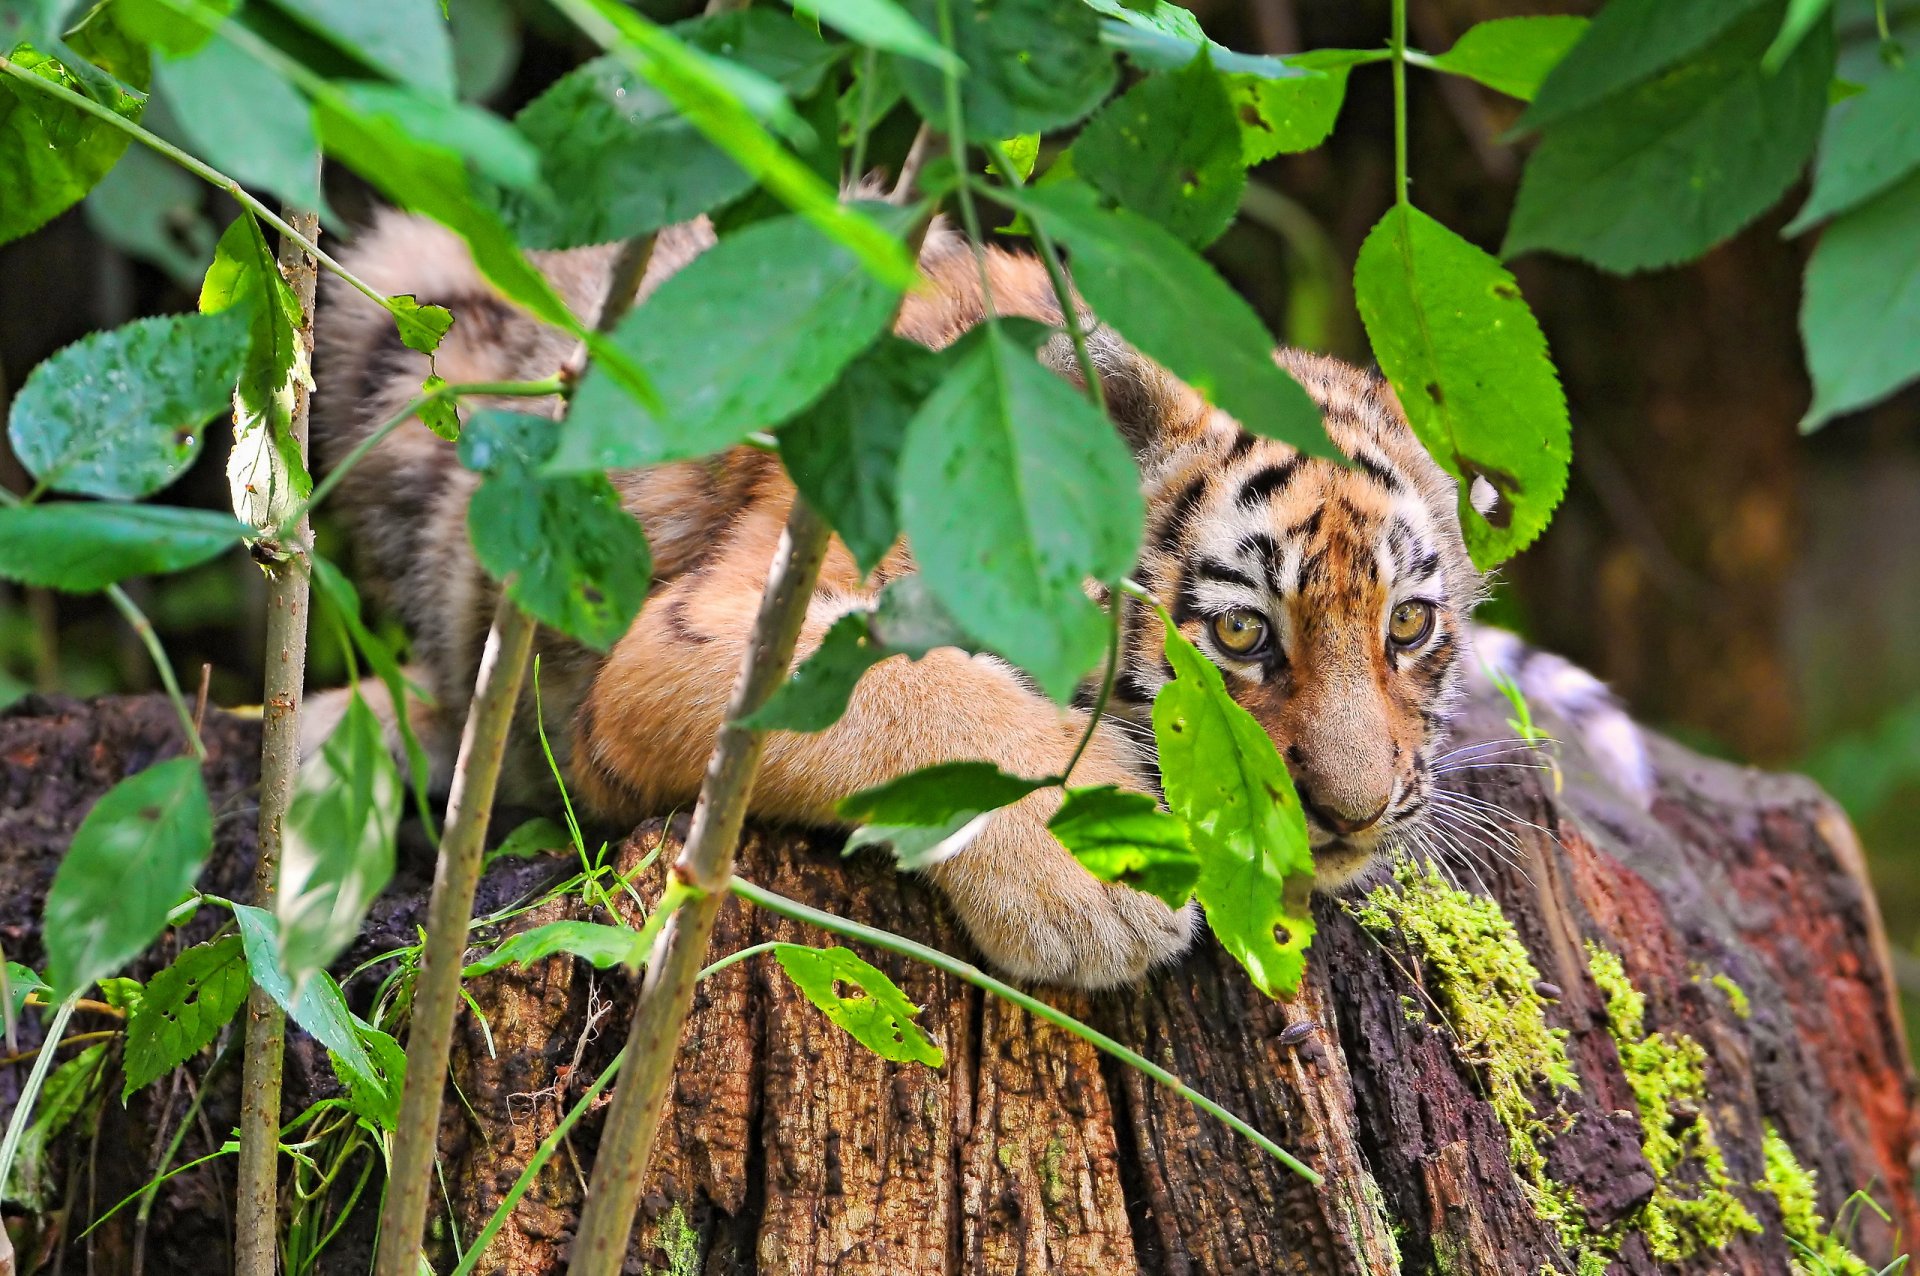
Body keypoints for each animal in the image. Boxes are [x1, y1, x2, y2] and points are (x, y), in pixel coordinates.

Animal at [311, 210, 1652, 991]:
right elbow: (908, 694)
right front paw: (1100, 880)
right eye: (1240, 633)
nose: (1355, 814)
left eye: (1407, 627)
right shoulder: (699, 635)